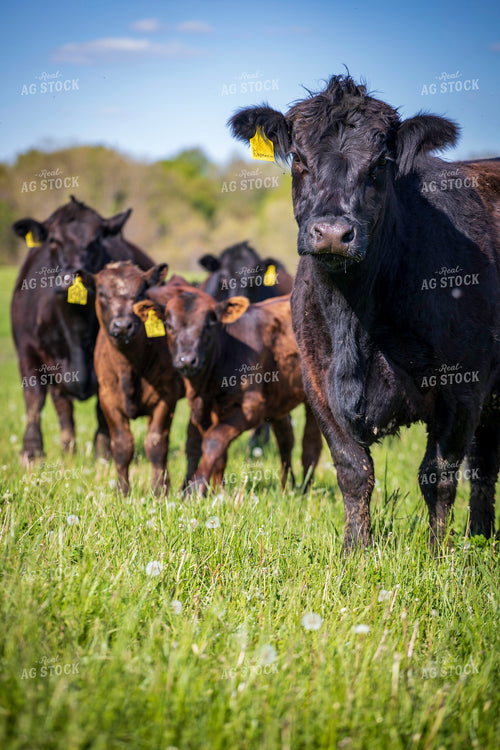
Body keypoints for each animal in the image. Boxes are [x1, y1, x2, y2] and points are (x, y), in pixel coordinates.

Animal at [11, 196, 153, 464]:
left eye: (96, 240)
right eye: (53, 240)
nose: (70, 278)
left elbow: (102, 410)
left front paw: (104, 453)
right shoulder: (27, 352)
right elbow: (34, 401)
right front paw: (32, 452)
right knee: (62, 407)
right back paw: (67, 448)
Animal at [77, 262, 185, 495]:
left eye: (141, 293)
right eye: (101, 293)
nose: (123, 326)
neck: (129, 367)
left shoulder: (167, 395)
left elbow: (156, 444)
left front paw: (159, 490)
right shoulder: (107, 398)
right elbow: (122, 445)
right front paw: (122, 491)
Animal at [133, 284, 323, 494]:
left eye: (209, 325)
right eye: (169, 325)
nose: (187, 360)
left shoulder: (250, 408)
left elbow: (214, 441)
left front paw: (195, 489)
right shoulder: (203, 411)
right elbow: (220, 452)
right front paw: (218, 491)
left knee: (311, 443)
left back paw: (305, 489)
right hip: (279, 397)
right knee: (285, 438)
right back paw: (287, 486)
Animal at [229, 74, 500, 548]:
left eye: (379, 164)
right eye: (299, 159)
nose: (332, 233)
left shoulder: (463, 384)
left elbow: (438, 475)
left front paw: (439, 555)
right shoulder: (317, 382)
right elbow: (354, 470)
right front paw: (355, 549)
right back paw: (481, 535)